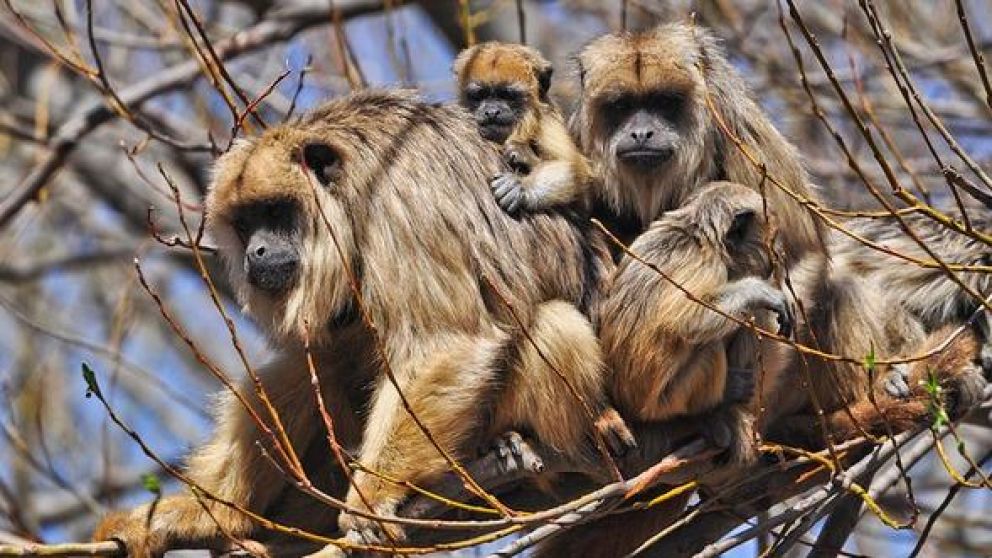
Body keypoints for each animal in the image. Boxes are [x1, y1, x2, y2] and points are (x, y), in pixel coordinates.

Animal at [92, 89, 635, 556]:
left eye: (276, 211)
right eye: (245, 223)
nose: (256, 252)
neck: (352, 183)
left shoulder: (401, 204)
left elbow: (443, 341)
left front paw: (372, 501)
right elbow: (326, 353)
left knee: (552, 324)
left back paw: (514, 449)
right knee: (318, 364)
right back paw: (219, 516)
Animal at [453, 41, 596, 214]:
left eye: (507, 95)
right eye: (480, 95)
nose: (492, 112)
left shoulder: (546, 123)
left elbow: (580, 177)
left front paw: (522, 188)